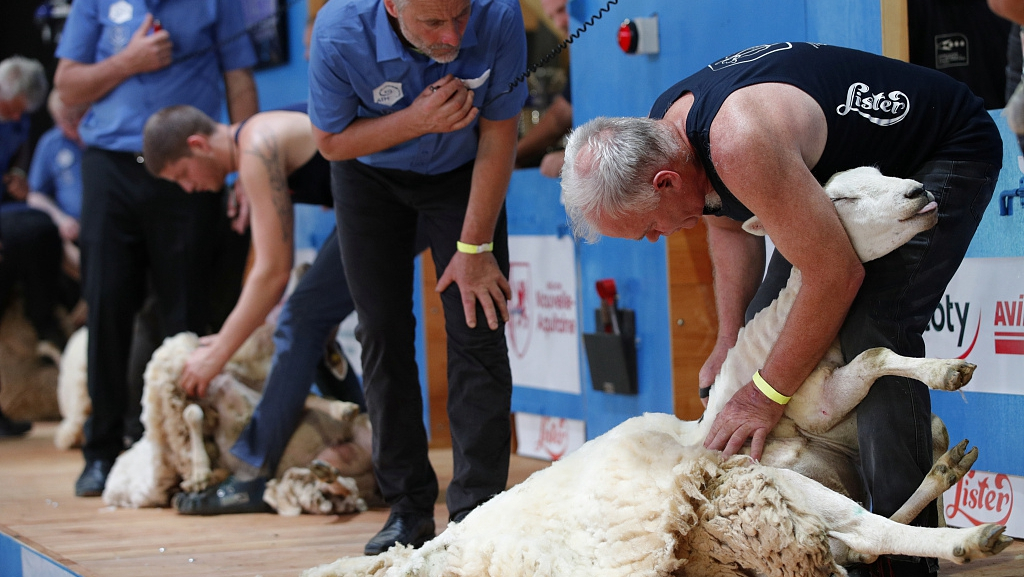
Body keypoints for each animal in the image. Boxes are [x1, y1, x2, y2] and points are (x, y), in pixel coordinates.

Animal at [101, 327, 376, 516]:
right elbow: (193, 413)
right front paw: (200, 473)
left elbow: (308, 398)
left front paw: (343, 408)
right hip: (336, 466)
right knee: (340, 486)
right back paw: (325, 472)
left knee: (344, 486)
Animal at [299, 165, 1011, 573]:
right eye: (840, 198)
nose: (920, 193)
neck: (788, 333)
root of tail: (433, 551)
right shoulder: (807, 410)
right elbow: (872, 358)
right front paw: (947, 373)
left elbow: (888, 377)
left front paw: (945, 384)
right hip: (774, 495)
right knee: (863, 530)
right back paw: (969, 542)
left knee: (869, 529)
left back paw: (949, 474)